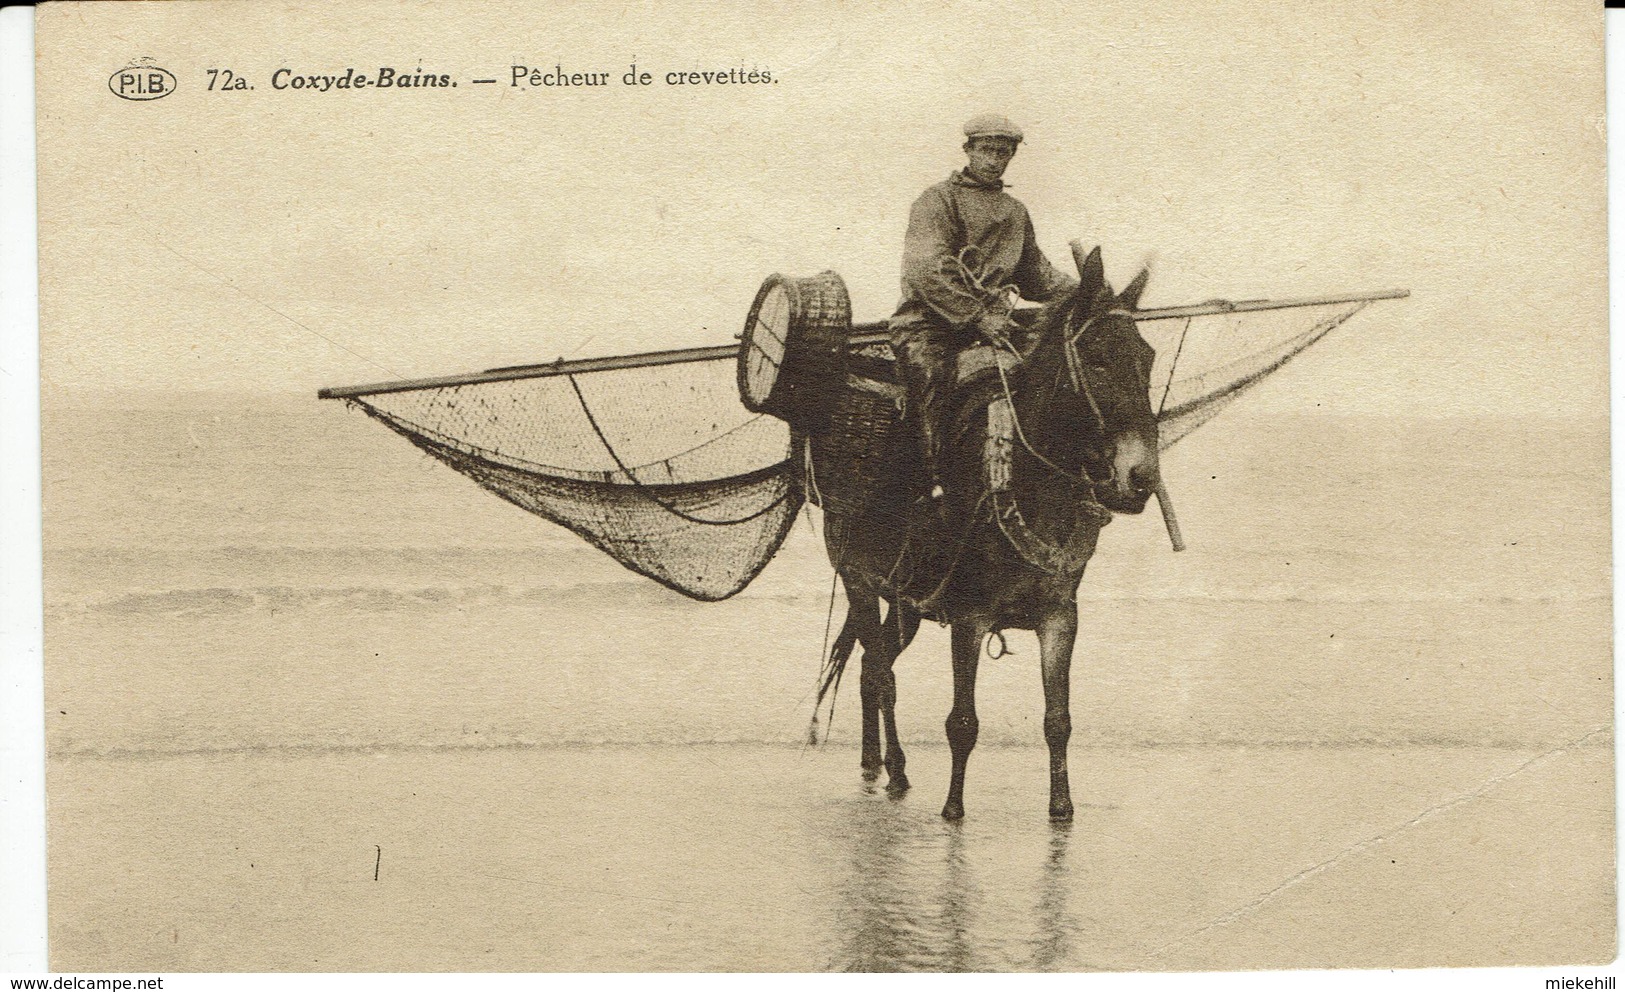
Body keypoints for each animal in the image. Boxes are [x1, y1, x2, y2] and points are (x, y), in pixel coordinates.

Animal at [819, 245, 1163, 819]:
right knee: (881, 674)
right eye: (1096, 359)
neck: (1029, 481)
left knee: (871, 666)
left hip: (906, 603)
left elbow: (1058, 721)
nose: (1140, 478)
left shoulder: (1059, 618)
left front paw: (1062, 808)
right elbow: (962, 723)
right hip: (859, 583)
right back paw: (895, 769)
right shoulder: (969, 618)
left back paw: (876, 764)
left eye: (1147, 357)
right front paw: (953, 809)